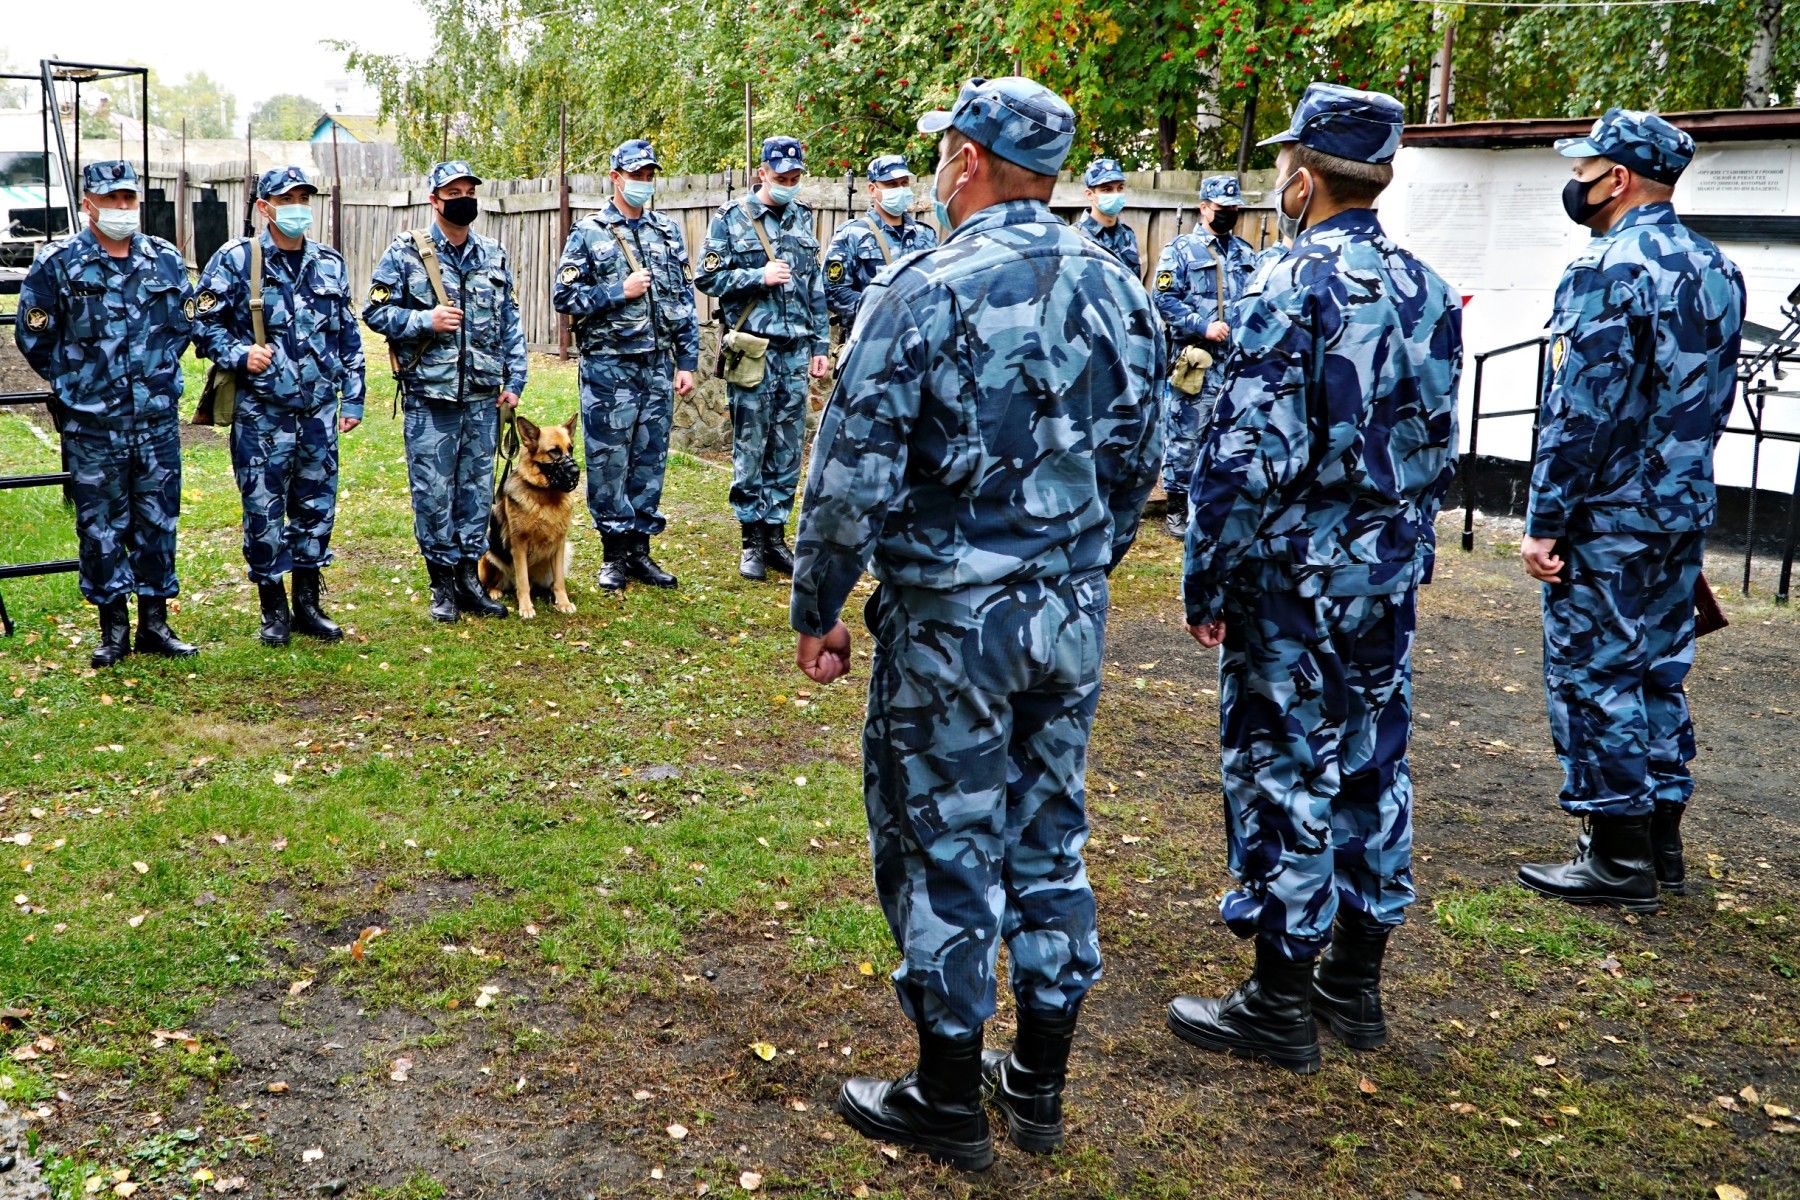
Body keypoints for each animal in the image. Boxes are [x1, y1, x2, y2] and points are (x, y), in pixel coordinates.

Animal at [478, 413, 583, 618]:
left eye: (570, 449)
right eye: (554, 452)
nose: (576, 472)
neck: (547, 498)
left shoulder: (560, 543)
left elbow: (559, 580)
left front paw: (563, 602)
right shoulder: (519, 545)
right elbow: (523, 581)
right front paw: (526, 607)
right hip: (488, 552)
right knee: (491, 583)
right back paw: (494, 592)